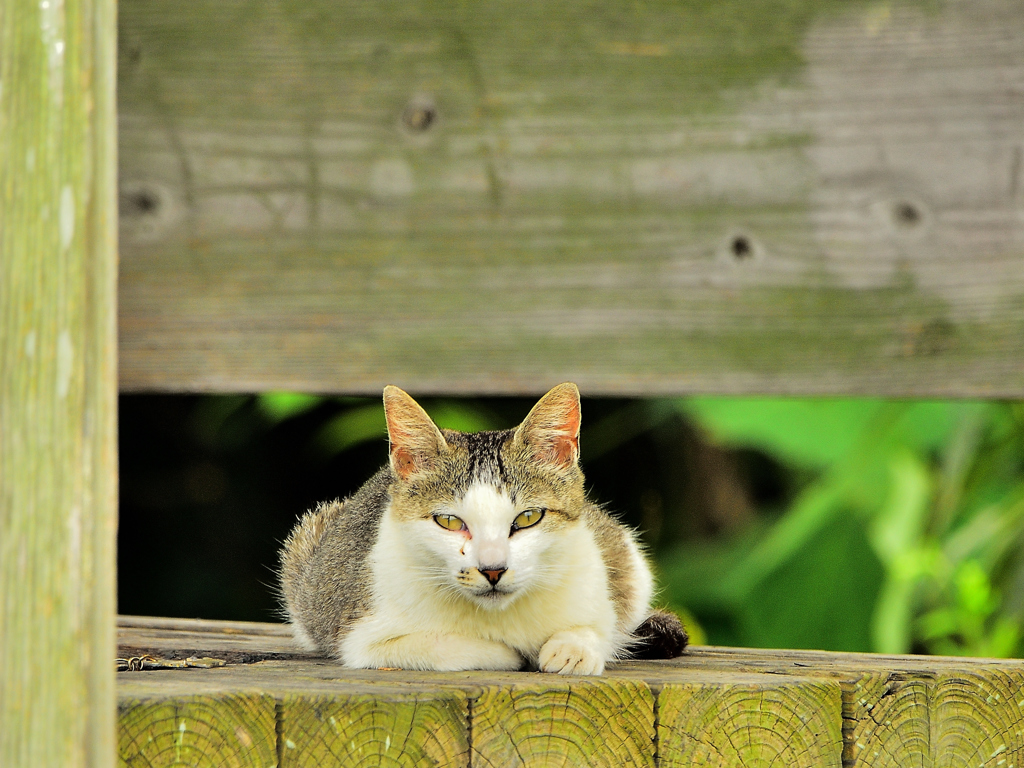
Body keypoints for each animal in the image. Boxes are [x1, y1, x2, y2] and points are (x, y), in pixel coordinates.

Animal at [278, 382, 688, 671]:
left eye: (527, 518)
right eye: (449, 521)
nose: (493, 569)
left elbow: (602, 626)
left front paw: (574, 648)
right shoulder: (361, 638)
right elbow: (437, 646)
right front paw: (506, 653)